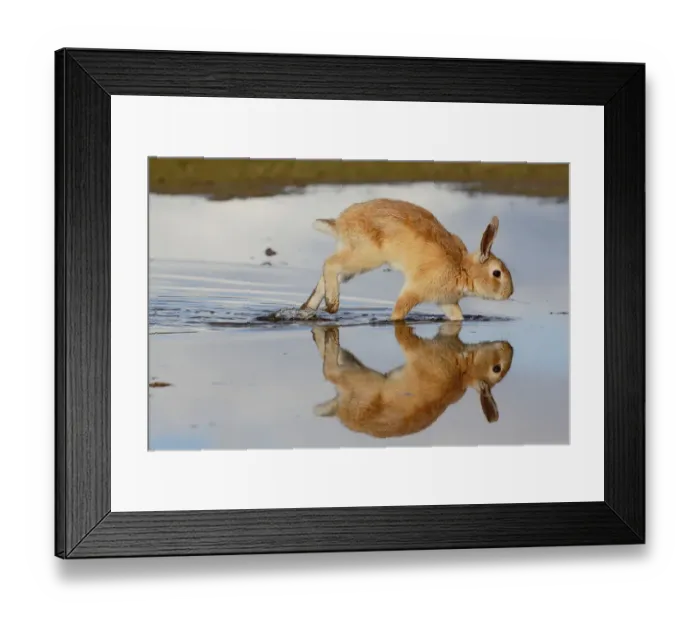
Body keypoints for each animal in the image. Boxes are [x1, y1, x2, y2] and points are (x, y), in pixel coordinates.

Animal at [300, 198, 514, 321]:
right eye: (497, 273)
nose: (509, 293)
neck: (463, 269)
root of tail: (340, 223)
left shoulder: (447, 302)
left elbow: (458, 317)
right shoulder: (414, 291)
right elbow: (399, 311)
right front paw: (393, 319)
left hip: (352, 262)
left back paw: (308, 309)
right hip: (366, 257)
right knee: (329, 264)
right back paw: (332, 305)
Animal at [311, 322, 514, 439]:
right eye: (497, 368)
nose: (509, 347)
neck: (464, 370)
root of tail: (340, 410)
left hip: (356, 375)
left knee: (330, 370)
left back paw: (327, 337)